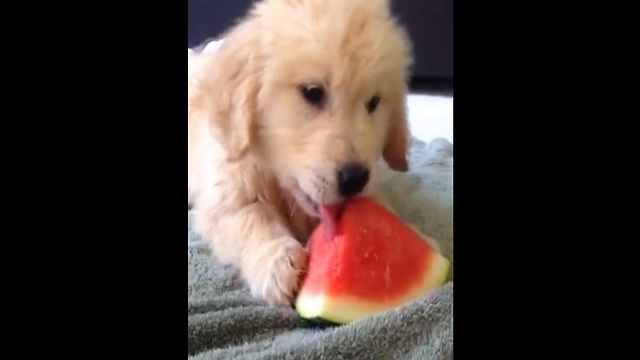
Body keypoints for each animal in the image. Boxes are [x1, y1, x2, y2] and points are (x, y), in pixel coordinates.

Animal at [188, 0, 432, 306]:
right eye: (312, 92)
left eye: (374, 102)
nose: (354, 179)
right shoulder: (225, 195)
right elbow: (252, 219)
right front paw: (277, 259)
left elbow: (382, 208)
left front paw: (412, 236)